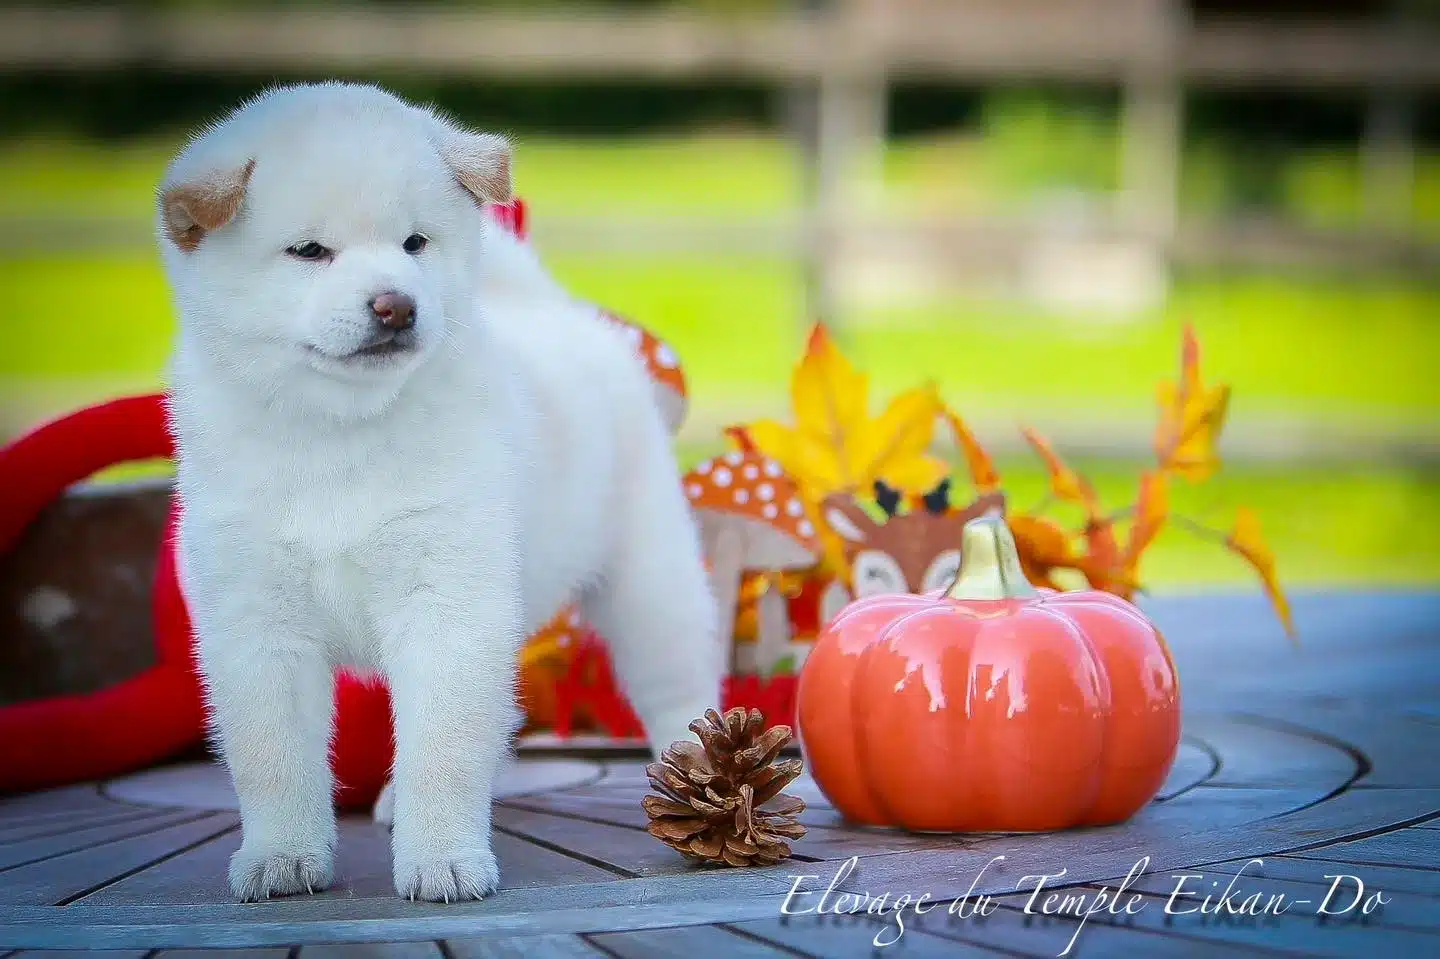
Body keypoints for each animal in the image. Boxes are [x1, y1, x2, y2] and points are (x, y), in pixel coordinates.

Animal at [160, 86, 720, 898]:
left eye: (415, 244)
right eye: (309, 251)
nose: (395, 304)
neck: (340, 435)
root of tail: (558, 311)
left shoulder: (447, 602)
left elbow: (442, 750)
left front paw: (443, 859)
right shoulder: (257, 621)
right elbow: (275, 760)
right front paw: (282, 856)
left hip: (648, 580)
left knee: (678, 681)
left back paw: (704, 773)